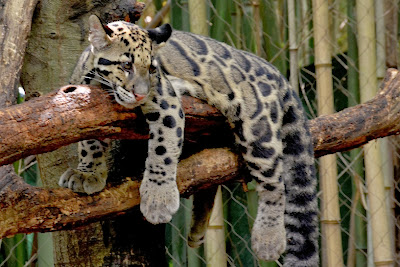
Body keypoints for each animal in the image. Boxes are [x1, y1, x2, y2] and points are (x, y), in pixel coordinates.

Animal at [58, 15, 318, 267]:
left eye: (152, 69)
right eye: (126, 65)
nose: (141, 93)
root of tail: (276, 72)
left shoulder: (166, 101)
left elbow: (162, 149)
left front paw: (158, 200)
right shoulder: (86, 104)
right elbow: (90, 141)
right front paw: (88, 173)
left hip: (257, 129)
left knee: (274, 183)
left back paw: (268, 239)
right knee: (209, 175)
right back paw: (198, 231)